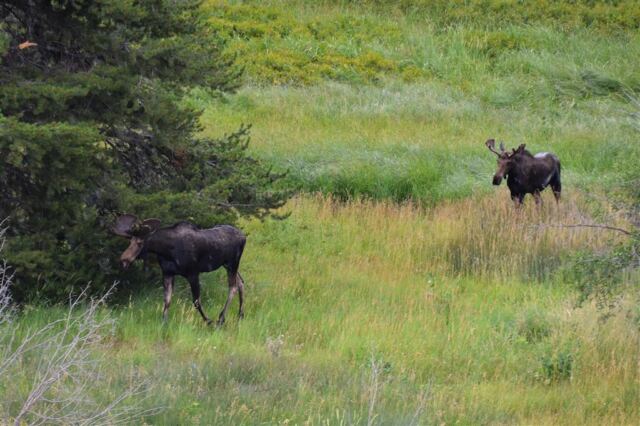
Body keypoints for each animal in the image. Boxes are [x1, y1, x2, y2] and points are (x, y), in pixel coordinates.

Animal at [112, 214, 246, 326]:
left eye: (140, 242)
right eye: (130, 241)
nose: (123, 260)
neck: (166, 251)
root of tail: (244, 237)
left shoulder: (193, 273)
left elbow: (196, 302)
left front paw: (208, 321)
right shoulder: (167, 273)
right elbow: (167, 301)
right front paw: (164, 324)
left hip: (232, 263)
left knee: (233, 287)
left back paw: (221, 318)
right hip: (227, 265)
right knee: (240, 282)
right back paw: (240, 315)